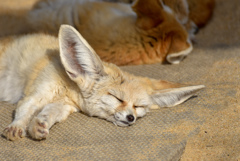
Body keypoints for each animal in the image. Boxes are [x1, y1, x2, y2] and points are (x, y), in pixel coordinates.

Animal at [1, 25, 204, 141]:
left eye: (138, 107)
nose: (131, 118)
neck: (68, 85)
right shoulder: (39, 92)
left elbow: (48, 114)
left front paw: (38, 127)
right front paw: (16, 127)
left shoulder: (64, 105)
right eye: (117, 98)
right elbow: (24, 109)